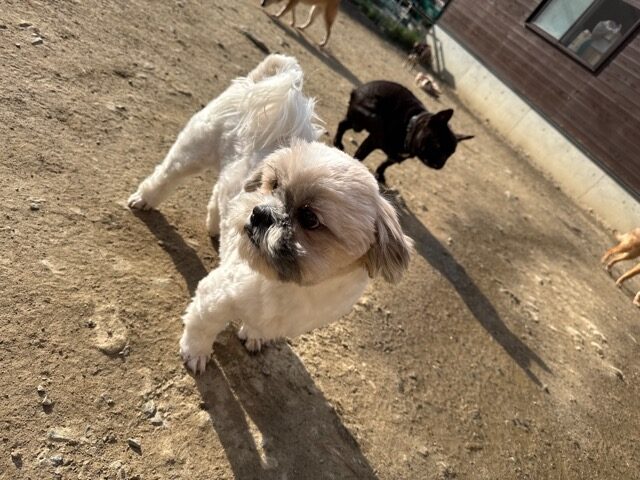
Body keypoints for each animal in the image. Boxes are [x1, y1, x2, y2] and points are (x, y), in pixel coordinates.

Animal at [128, 55, 412, 373]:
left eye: (310, 219)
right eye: (273, 184)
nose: (260, 212)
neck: (291, 286)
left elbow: (258, 328)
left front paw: (252, 334)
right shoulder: (216, 296)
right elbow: (202, 325)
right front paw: (195, 353)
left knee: (219, 193)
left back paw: (216, 224)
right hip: (192, 153)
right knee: (166, 176)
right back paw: (145, 198)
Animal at [333, 80, 473, 183]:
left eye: (450, 154)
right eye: (437, 146)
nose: (440, 164)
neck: (409, 127)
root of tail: (357, 90)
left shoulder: (397, 157)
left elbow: (386, 163)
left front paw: (379, 174)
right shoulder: (372, 141)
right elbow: (360, 155)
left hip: (357, 123)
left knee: (343, 124)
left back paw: (338, 142)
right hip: (369, 118)